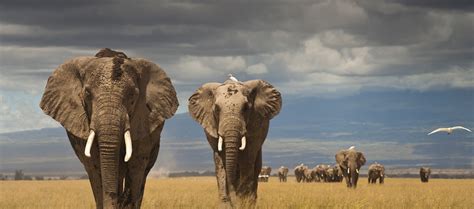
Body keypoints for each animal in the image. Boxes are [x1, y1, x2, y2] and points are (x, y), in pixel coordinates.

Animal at [186, 77, 282, 208]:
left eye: (246, 108)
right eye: (216, 109)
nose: (234, 196)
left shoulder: (255, 129)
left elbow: (247, 159)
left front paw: (243, 202)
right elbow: (220, 162)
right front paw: (226, 205)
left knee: (255, 167)